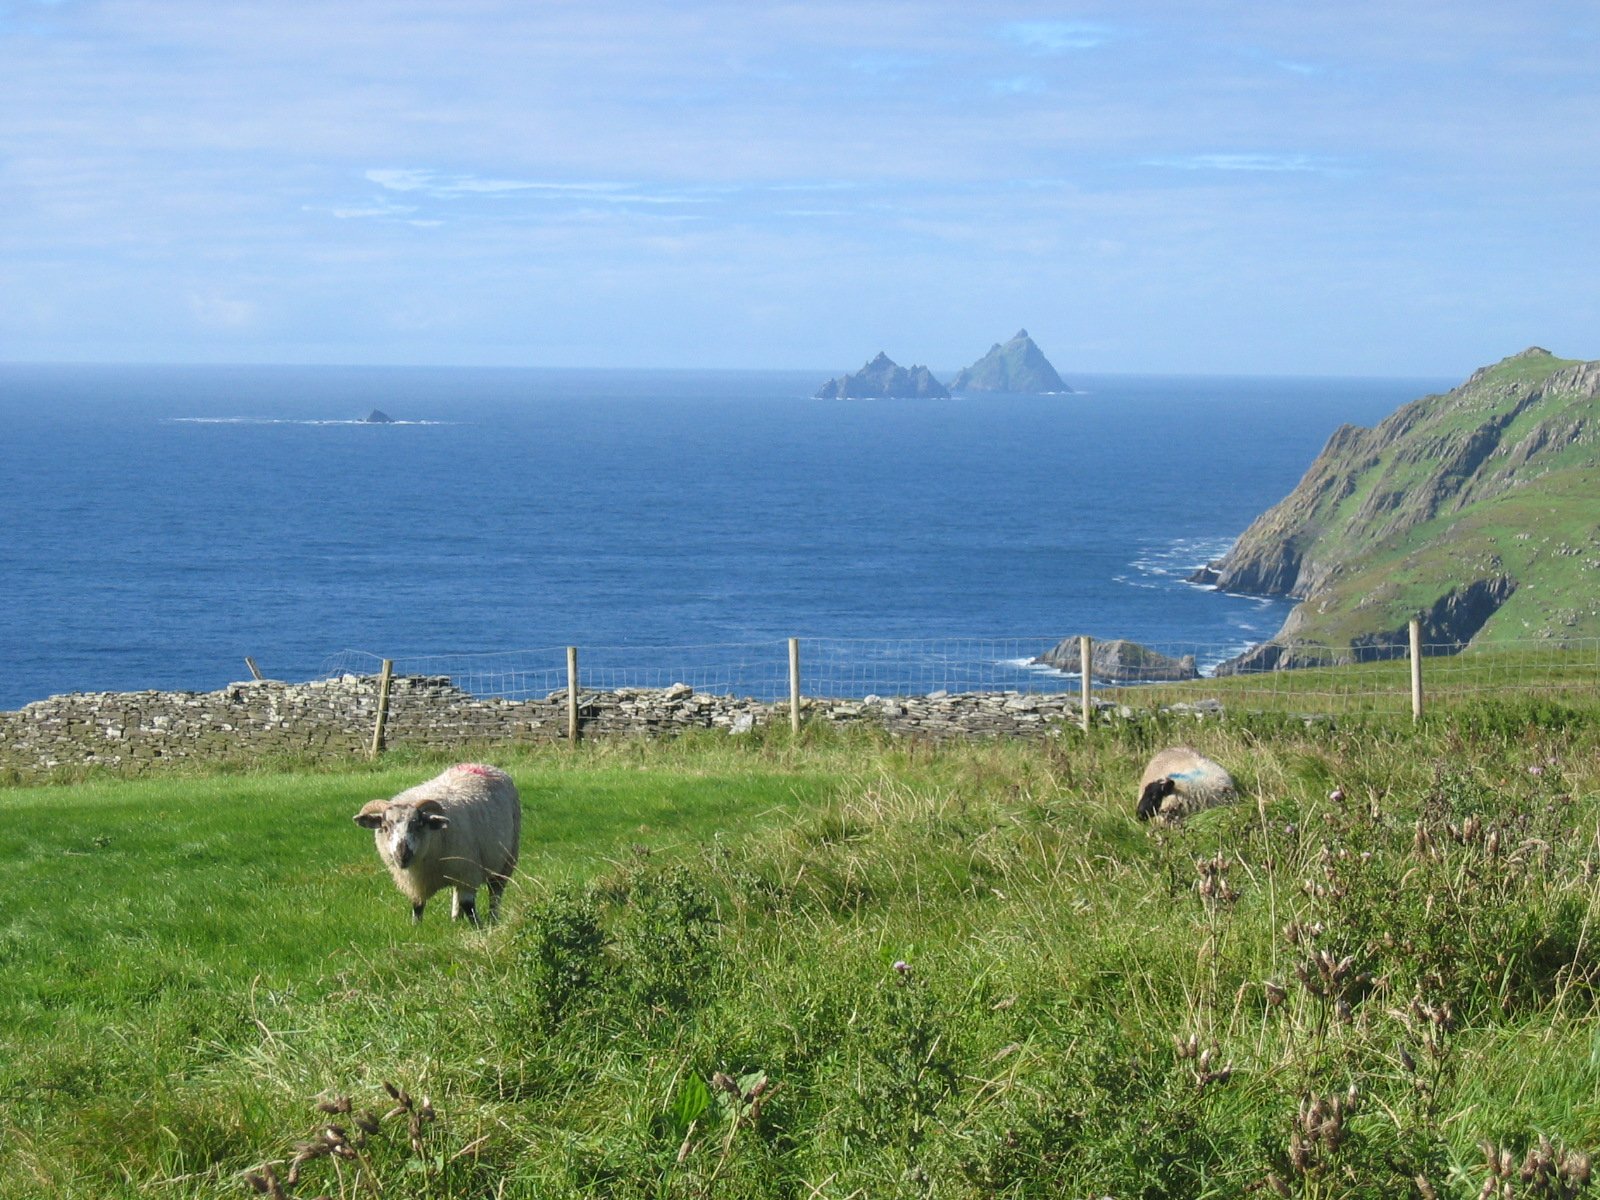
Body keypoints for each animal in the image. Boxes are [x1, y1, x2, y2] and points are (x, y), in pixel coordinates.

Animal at [353, 764, 521, 928]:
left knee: (495, 893)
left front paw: (479, 928)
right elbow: (417, 906)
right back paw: (455, 919)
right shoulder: (416, 884)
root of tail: (485, 765)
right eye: (385, 827)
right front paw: (416, 928)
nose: (402, 855)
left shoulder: (468, 872)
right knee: (456, 893)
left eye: (419, 825)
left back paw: (493, 919)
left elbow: (468, 905)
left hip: (506, 859)